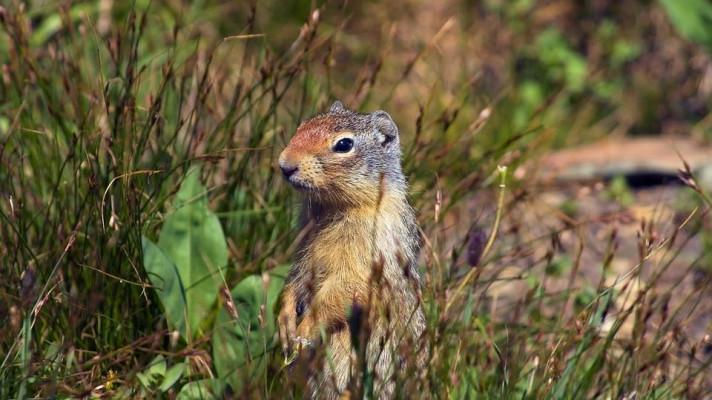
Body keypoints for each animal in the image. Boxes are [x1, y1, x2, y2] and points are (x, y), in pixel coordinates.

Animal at [276, 101, 426, 398]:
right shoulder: (303, 251)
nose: (284, 165)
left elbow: (341, 292)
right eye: (302, 125)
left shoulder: (367, 256)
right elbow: (294, 281)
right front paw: (285, 323)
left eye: (344, 144)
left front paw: (303, 331)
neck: (332, 207)